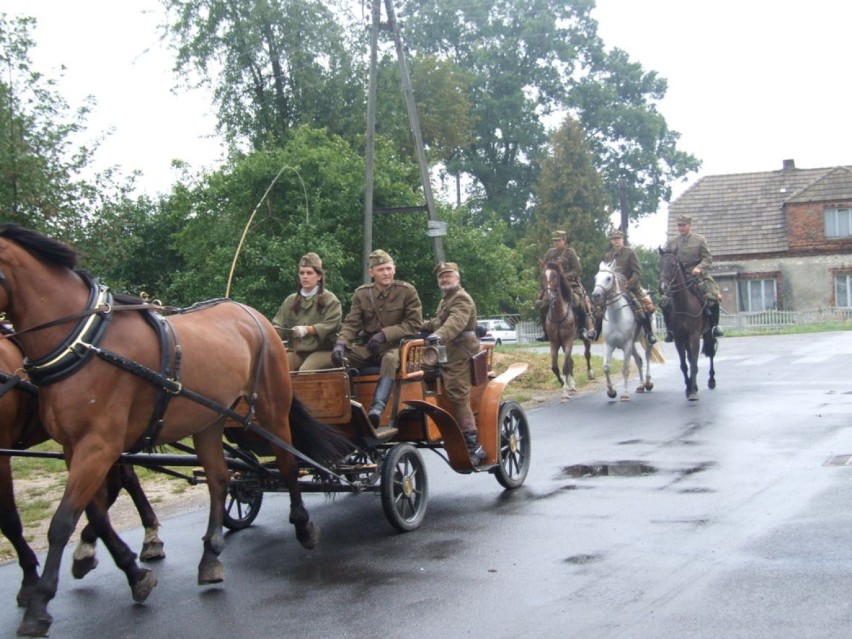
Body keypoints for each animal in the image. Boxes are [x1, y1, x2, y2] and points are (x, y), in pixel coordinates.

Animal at [588, 260, 656, 400]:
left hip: (646, 340)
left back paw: (647, 383)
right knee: (639, 360)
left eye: (609, 278)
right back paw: (641, 386)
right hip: (633, 344)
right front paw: (611, 391)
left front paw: (624, 394)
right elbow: (606, 367)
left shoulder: (627, 344)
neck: (616, 316)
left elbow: (625, 369)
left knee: (647, 356)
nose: (596, 295)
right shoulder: (609, 344)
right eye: (596, 278)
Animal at [656, 249, 716, 400]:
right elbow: (684, 364)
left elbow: (694, 364)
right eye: (659, 264)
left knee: (711, 354)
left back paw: (711, 380)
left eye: (673, 265)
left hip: (708, 333)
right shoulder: (679, 338)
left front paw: (693, 392)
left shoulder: (694, 337)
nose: (663, 288)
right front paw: (689, 388)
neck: (683, 306)